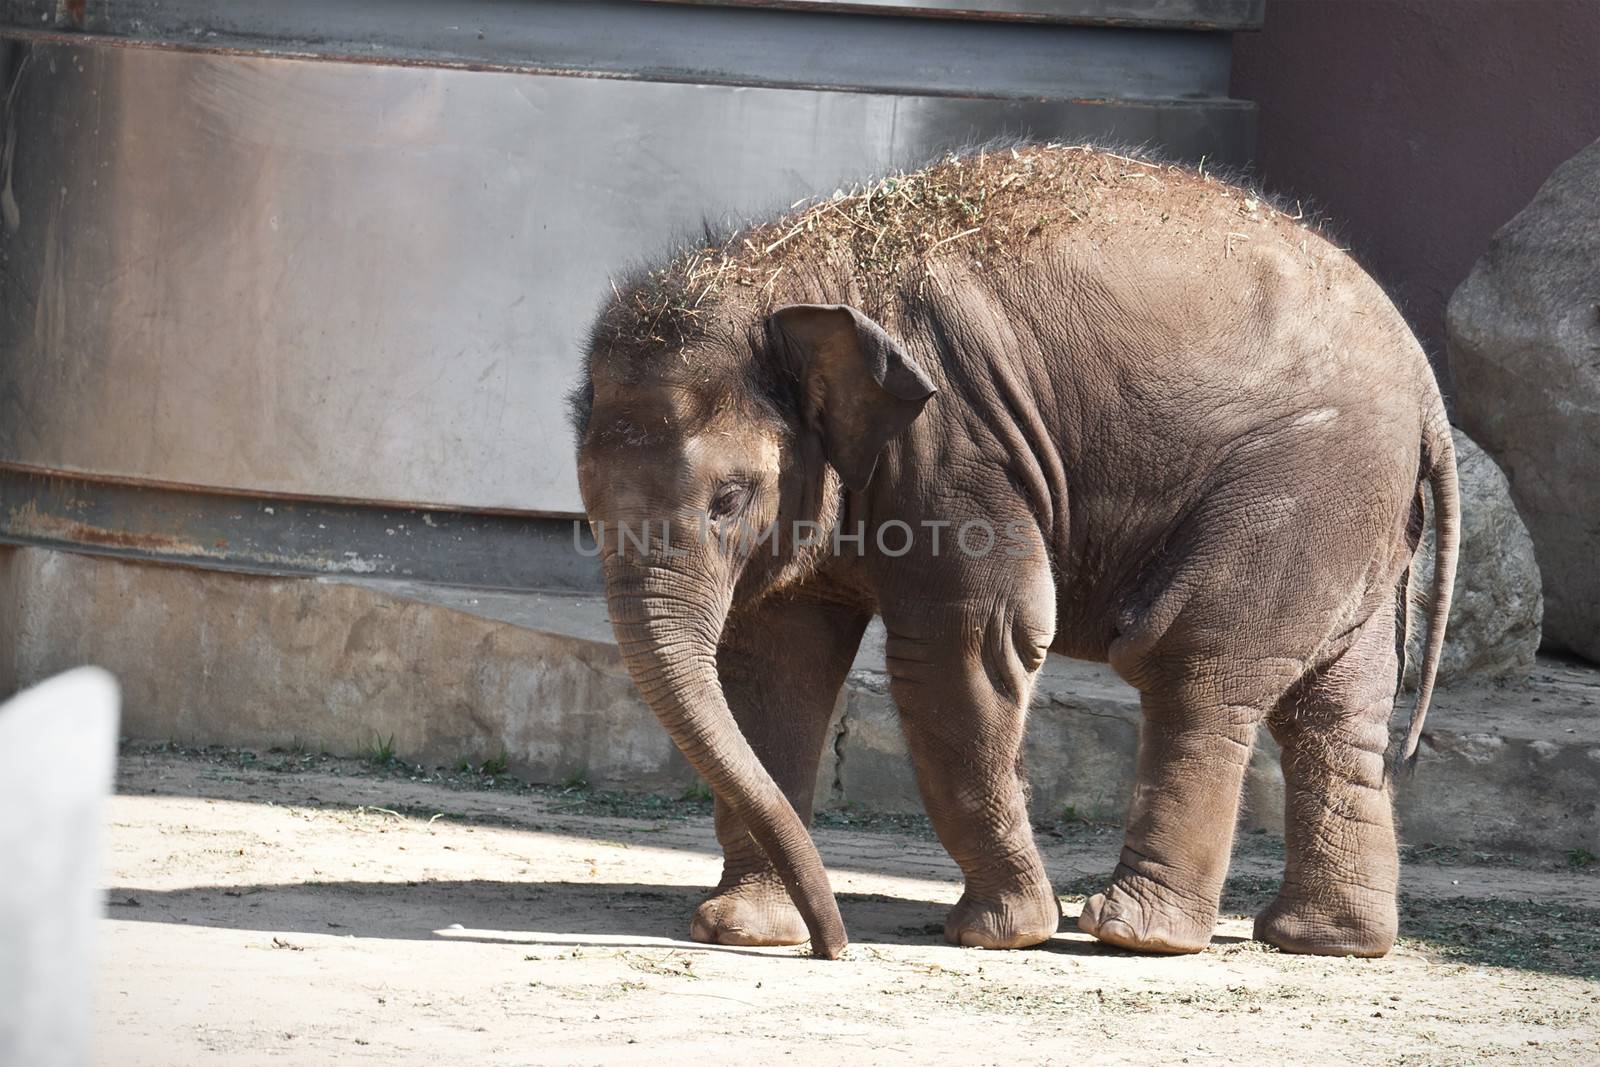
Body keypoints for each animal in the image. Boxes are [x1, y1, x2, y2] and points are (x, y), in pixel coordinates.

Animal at [569, 143, 1459, 959]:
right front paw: (745, 929)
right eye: (587, 504)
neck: (793, 273)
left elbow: (965, 643)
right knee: (1337, 705)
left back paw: (1136, 933)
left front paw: (1002, 932)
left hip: (1304, 481)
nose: (836, 947)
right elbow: (776, 663)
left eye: (728, 499)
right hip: (1356, 514)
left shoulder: (956, 445)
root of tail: (1425, 385)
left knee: (1193, 663)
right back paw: (1325, 940)